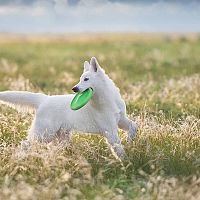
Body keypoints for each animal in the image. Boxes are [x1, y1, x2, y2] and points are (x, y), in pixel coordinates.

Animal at [0, 57, 137, 159]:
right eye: (80, 79)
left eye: (86, 79)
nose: (74, 89)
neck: (108, 99)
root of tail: (44, 99)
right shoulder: (110, 130)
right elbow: (118, 147)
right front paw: (126, 162)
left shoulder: (121, 120)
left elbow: (133, 125)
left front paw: (130, 140)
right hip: (44, 133)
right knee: (25, 144)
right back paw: (19, 158)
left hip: (60, 136)